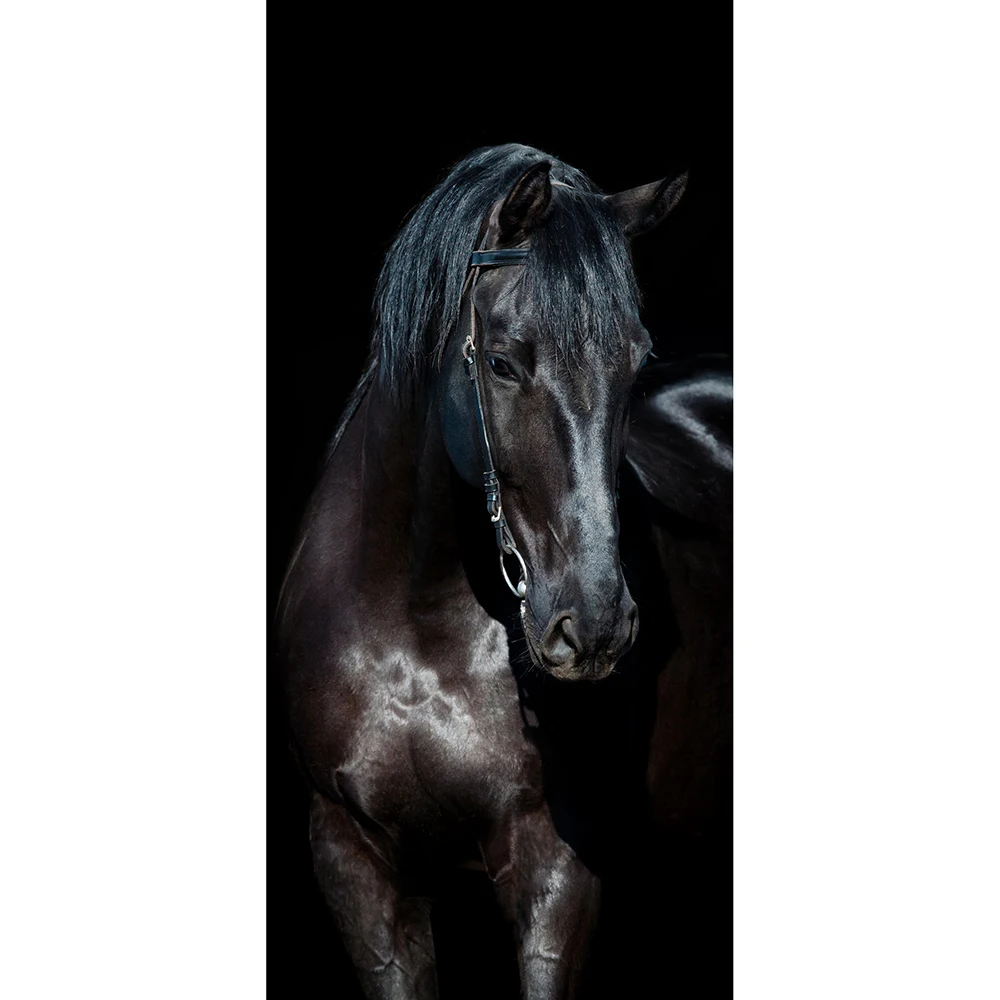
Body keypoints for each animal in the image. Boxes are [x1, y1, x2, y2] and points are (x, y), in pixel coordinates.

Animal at [276, 143, 693, 999]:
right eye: (501, 363)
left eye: (634, 363)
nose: (594, 624)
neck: (416, 624)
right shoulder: (355, 866)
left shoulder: (557, 867)